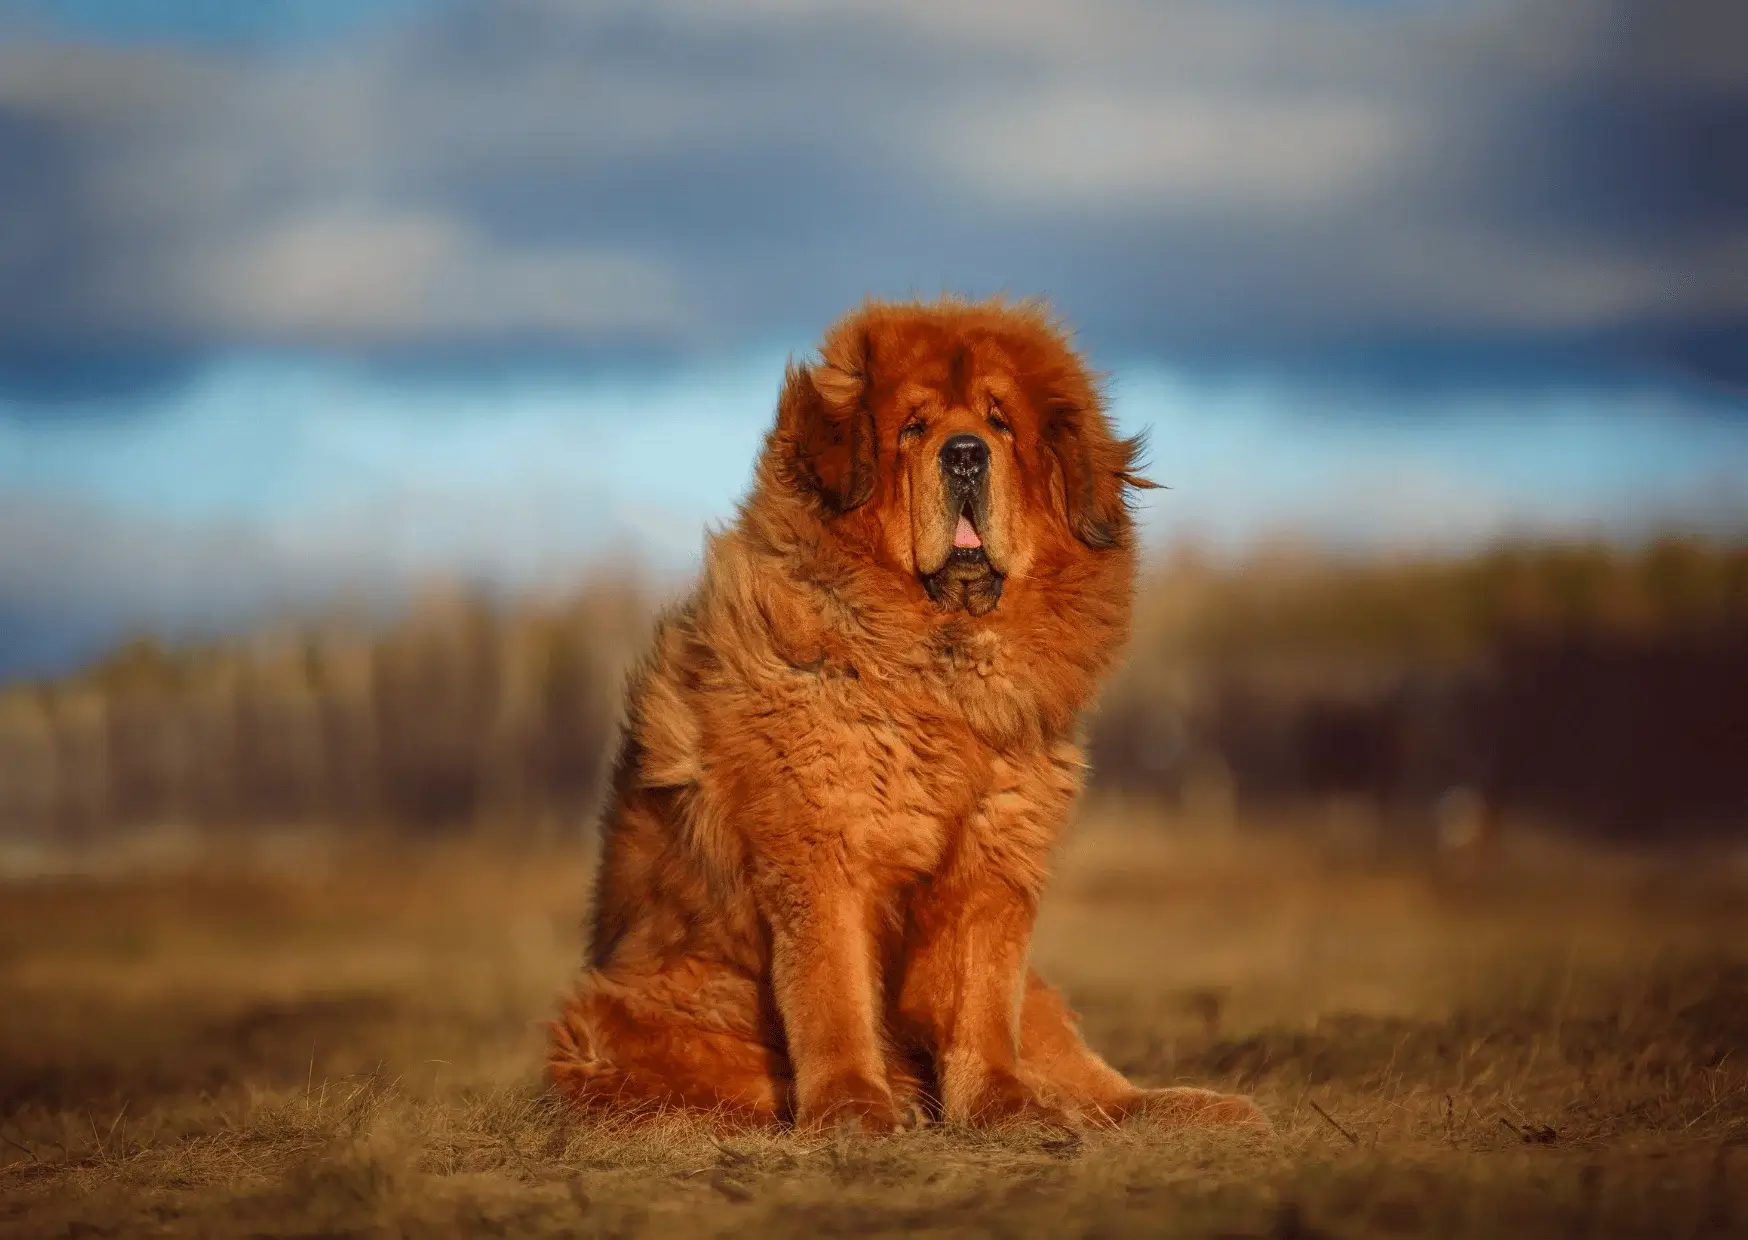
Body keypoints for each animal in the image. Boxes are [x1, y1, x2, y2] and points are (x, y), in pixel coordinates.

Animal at [552, 297, 1265, 1133]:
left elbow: (982, 1001)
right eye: (914, 428)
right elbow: (833, 996)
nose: (966, 456)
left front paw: (1002, 1106)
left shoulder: (994, 862)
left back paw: (1194, 1107)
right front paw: (853, 1108)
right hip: (622, 1017)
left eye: (1000, 424)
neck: (938, 675)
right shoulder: (824, 854)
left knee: (1099, 1086)